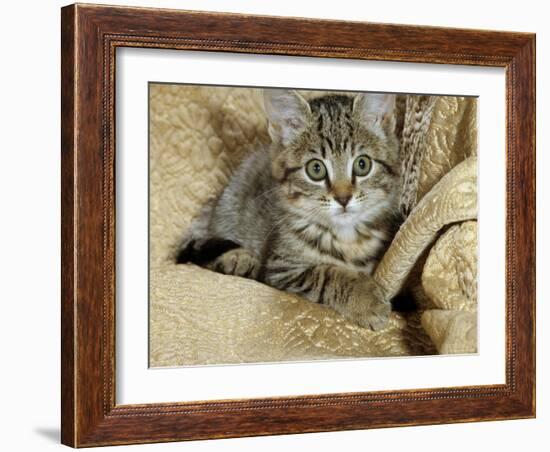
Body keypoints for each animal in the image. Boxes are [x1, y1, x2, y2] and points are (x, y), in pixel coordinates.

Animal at [179, 89, 404, 328]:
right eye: (316, 169)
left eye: (363, 164)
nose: (343, 198)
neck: (347, 238)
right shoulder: (280, 269)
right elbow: (325, 273)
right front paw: (365, 298)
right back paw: (238, 259)